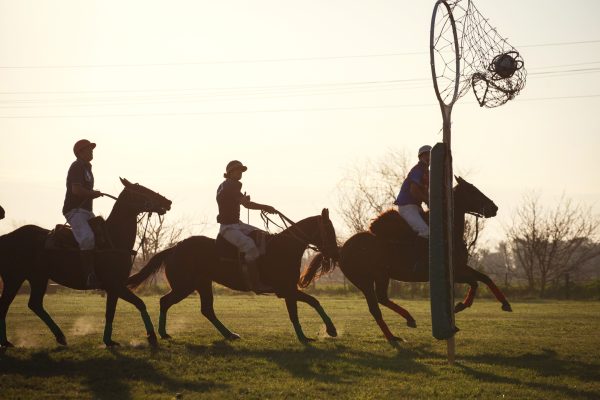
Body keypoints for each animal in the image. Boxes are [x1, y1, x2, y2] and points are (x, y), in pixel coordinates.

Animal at [0, 178, 173, 346]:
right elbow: (139, 303)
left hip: (38, 278)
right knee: (5, 305)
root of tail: (6, 237)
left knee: (35, 304)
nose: (168, 201)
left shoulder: (113, 288)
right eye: (142, 190)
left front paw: (108, 340)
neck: (114, 238)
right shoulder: (115, 284)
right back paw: (6, 342)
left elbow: (111, 312)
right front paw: (151, 335)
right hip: (14, 278)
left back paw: (60, 337)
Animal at [127, 208, 340, 342]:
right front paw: (327, 331)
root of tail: (173, 248)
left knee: (206, 310)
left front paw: (312, 334)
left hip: (202, 284)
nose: (336, 253)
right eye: (328, 230)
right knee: (165, 301)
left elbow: (305, 306)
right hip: (184, 286)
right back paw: (163, 333)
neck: (284, 248)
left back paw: (229, 334)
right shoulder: (286, 290)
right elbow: (308, 305)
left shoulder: (289, 290)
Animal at [298, 177, 510, 342]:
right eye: (472, 190)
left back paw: (407, 321)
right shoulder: (455, 272)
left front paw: (504, 304)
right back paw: (394, 334)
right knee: (375, 306)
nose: (495, 207)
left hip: (381, 276)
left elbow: (484, 278)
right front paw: (460, 306)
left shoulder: (460, 267)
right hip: (364, 280)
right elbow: (475, 282)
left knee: (382, 298)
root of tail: (340, 249)